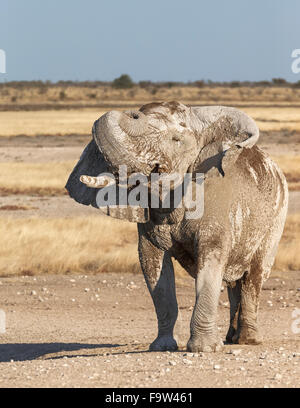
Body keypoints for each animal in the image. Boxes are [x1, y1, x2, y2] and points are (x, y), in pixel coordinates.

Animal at [65, 101, 288, 350]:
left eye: (176, 140)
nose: (133, 113)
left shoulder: (215, 200)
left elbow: (211, 259)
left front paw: (204, 349)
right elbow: (153, 267)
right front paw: (163, 346)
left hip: (276, 218)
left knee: (254, 275)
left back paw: (248, 340)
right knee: (234, 282)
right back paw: (231, 338)